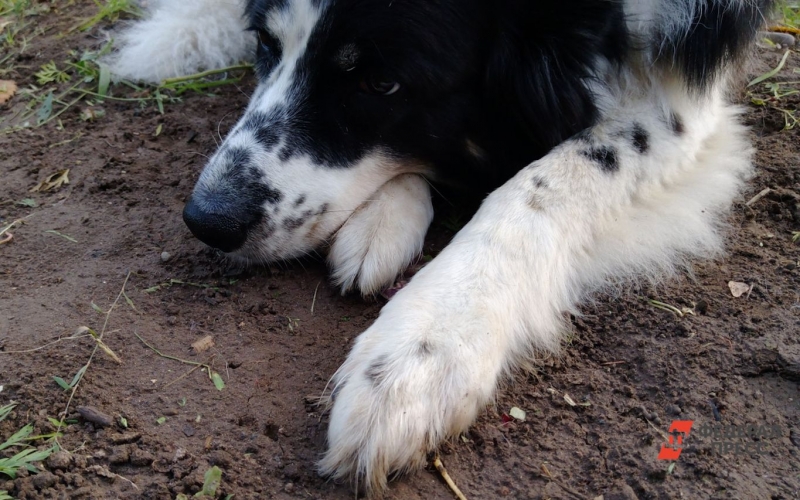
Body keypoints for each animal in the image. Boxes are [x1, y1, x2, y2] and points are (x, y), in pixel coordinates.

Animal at [108, 0, 776, 492]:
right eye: (267, 47)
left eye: (383, 83)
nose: (207, 219)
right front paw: (386, 214)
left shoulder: (680, 99)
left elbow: (540, 183)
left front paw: (425, 350)